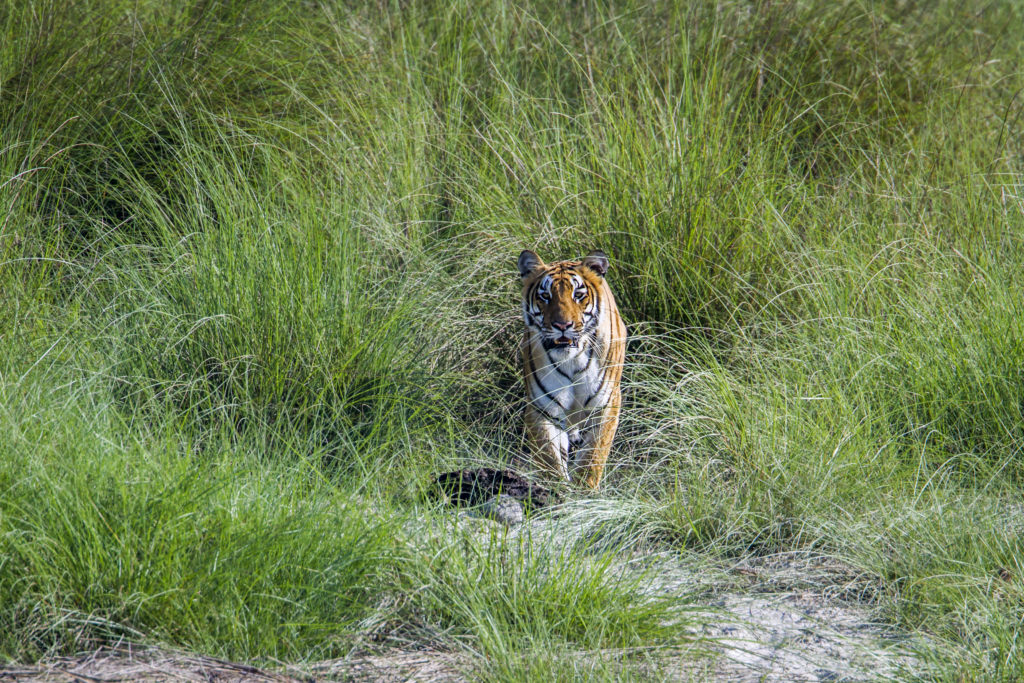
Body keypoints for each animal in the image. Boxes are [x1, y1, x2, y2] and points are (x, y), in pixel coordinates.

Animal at [516, 248, 626, 489]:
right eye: (545, 296)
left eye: (578, 295)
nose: (562, 325)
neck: (572, 360)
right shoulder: (543, 408)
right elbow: (549, 458)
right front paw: (556, 490)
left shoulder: (606, 404)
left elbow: (593, 456)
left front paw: (585, 491)